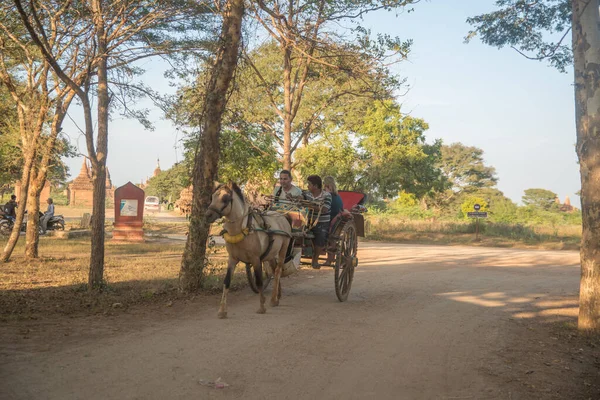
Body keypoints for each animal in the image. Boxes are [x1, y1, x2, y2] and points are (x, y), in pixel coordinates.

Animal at [206, 182, 292, 318]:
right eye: (212, 197)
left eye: (225, 199)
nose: (207, 215)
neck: (243, 229)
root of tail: (282, 215)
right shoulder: (232, 259)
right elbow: (226, 282)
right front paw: (222, 310)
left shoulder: (256, 259)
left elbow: (259, 281)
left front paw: (262, 307)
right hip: (271, 254)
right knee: (273, 270)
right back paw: (277, 296)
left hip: (283, 248)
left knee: (278, 271)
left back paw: (273, 299)